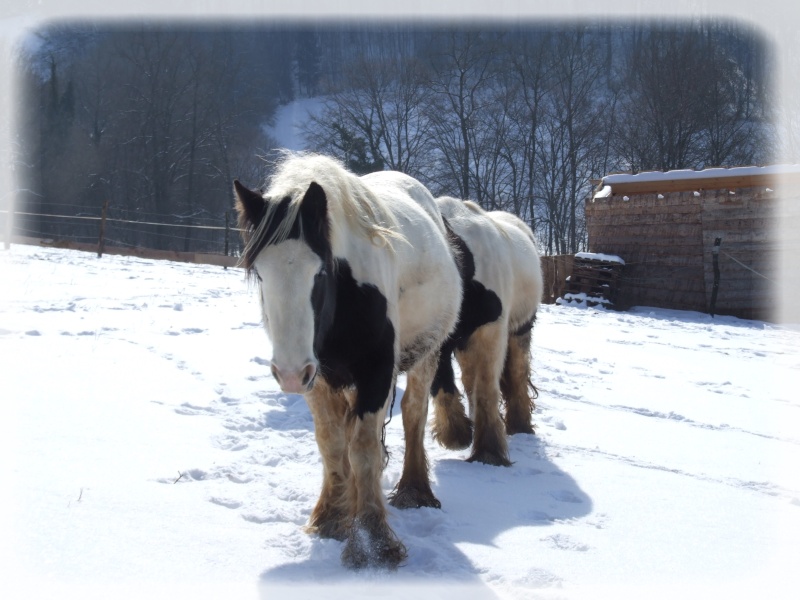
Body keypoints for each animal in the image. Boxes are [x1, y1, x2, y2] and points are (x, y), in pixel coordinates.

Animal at [234, 154, 460, 568]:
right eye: (260, 273)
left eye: (320, 271)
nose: (288, 374)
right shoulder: (317, 377)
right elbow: (332, 443)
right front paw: (331, 518)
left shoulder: (376, 373)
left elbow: (364, 450)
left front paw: (374, 541)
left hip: (427, 354)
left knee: (414, 414)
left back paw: (415, 490)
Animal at [428, 198, 540, 468]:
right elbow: (441, 383)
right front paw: (456, 433)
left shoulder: (491, 333)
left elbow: (486, 389)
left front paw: (489, 452)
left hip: (520, 330)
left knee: (518, 373)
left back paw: (520, 424)